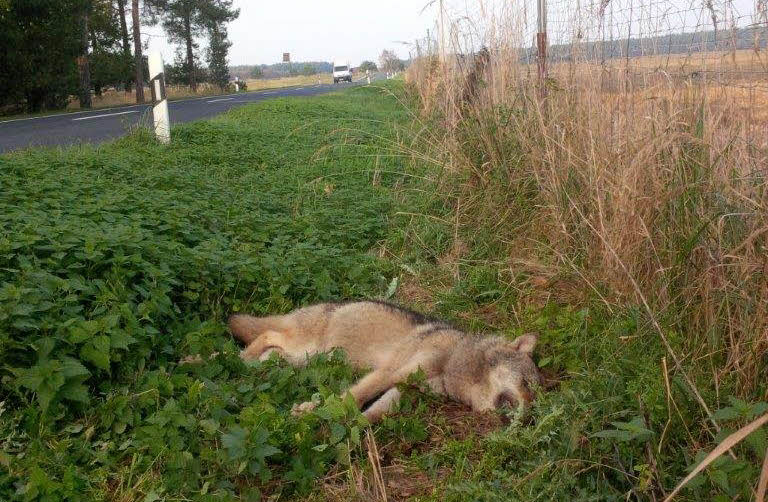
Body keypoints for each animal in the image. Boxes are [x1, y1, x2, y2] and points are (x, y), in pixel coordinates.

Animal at [228, 300, 542, 423]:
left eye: (535, 398)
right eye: (526, 384)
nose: (528, 415)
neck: (453, 361)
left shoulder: (402, 390)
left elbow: (369, 415)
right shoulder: (392, 372)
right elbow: (352, 398)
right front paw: (309, 412)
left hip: (304, 358)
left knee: (271, 352)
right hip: (305, 348)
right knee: (266, 334)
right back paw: (234, 359)